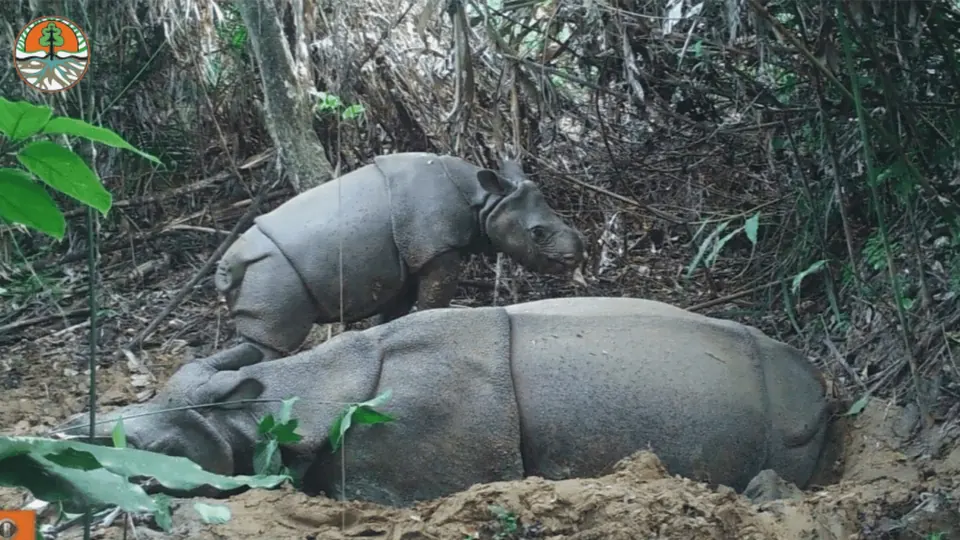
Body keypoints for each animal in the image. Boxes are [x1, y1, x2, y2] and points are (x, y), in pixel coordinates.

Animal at [214, 152, 586, 359]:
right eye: (537, 233)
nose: (576, 257)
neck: (483, 200)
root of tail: (227, 265)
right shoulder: (437, 250)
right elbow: (432, 303)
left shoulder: (406, 262)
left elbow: (392, 316)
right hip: (271, 273)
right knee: (271, 346)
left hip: (262, 275)